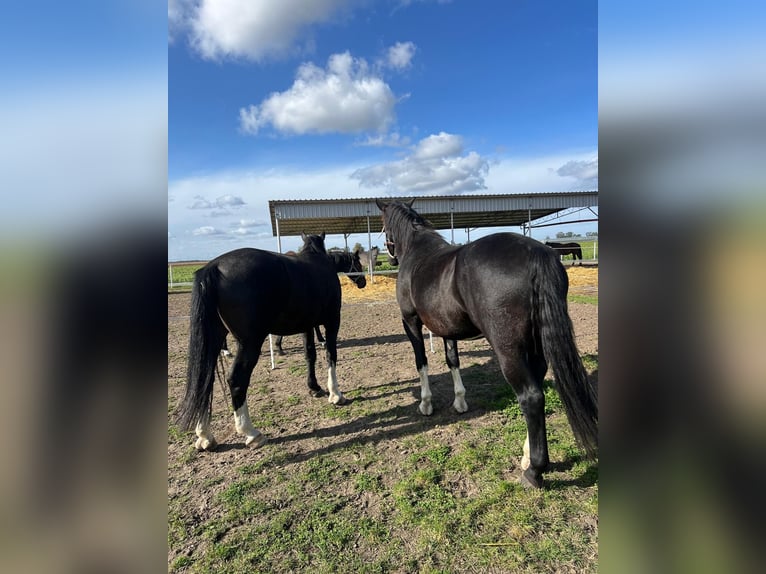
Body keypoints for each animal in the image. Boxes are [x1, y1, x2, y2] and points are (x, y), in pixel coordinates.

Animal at [180, 232, 356, 452]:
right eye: (357, 261)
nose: (363, 282)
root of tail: (213, 267)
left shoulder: (307, 325)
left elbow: (310, 354)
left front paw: (314, 387)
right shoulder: (332, 321)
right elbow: (330, 354)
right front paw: (336, 394)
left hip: (214, 340)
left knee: (205, 379)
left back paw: (205, 436)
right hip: (249, 343)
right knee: (236, 379)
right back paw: (250, 432)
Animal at [378, 200, 600, 488]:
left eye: (383, 225)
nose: (390, 257)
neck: (417, 251)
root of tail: (536, 254)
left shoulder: (411, 322)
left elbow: (421, 362)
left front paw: (426, 404)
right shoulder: (447, 327)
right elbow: (452, 361)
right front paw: (460, 402)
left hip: (508, 349)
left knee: (531, 397)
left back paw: (534, 471)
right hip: (535, 344)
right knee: (537, 384)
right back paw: (526, 456)